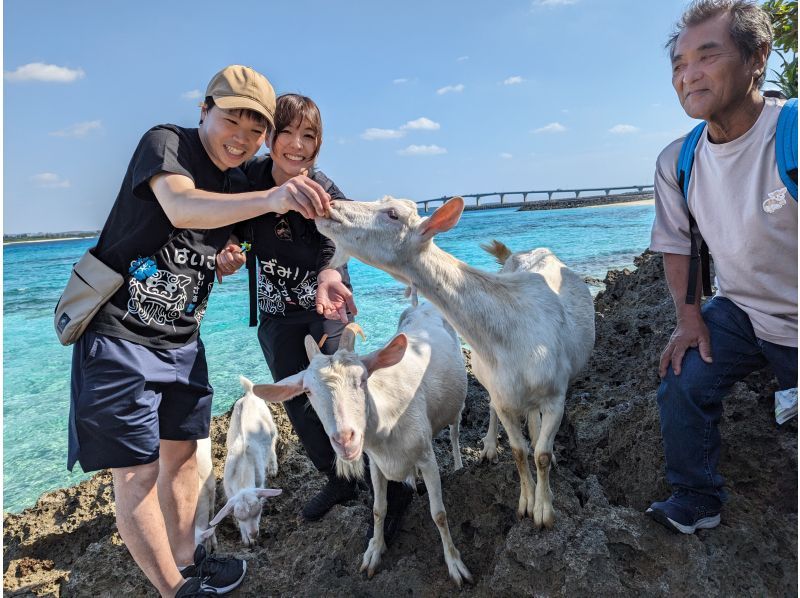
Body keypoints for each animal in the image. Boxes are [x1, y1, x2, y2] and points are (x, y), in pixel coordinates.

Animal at [253, 308, 472, 588]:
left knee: (454, 432)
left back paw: (458, 465)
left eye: (362, 379)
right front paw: (373, 553)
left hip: (457, 405)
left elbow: (439, 514)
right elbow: (379, 510)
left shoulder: (426, 457)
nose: (345, 439)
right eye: (308, 391)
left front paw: (455, 565)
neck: (388, 417)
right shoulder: (376, 463)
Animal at [316, 196, 596, 528]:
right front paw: (525, 504)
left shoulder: (555, 394)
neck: (509, 333)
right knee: (496, 408)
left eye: (393, 214)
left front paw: (544, 512)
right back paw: (490, 447)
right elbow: (518, 450)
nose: (331, 204)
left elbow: (540, 454)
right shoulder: (503, 396)